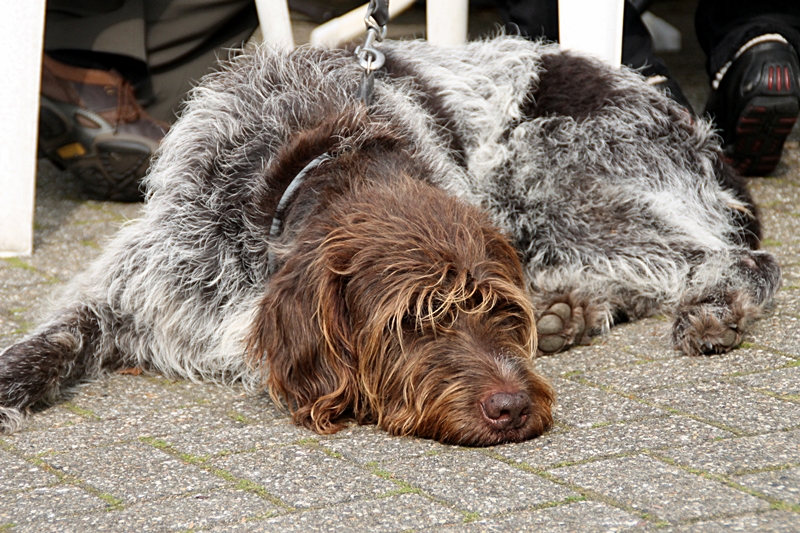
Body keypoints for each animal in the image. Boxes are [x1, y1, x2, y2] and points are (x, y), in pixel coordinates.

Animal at [0, 34, 780, 440]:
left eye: (490, 307)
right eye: (412, 319)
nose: (512, 407)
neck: (301, 165)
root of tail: (698, 130)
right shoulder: (134, 285)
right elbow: (57, 336)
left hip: (543, 169)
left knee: (736, 256)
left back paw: (712, 307)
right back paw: (570, 310)